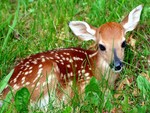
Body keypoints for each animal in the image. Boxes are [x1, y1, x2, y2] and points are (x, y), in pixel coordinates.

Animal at [0, 4, 142, 108]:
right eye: (101, 46)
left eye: (123, 43)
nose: (117, 65)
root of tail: (4, 92)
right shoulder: (84, 84)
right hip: (44, 74)